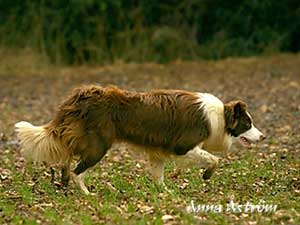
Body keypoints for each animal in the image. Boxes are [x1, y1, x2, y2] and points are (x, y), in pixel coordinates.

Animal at [14, 85, 264, 194]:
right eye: (248, 124)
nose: (263, 136)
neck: (220, 115)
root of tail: (83, 95)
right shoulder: (182, 146)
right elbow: (213, 159)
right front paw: (206, 175)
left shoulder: (159, 153)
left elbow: (159, 175)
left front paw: (165, 192)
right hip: (98, 145)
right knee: (78, 170)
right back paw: (85, 193)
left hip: (82, 139)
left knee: (67, 160)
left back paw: (63, 182)